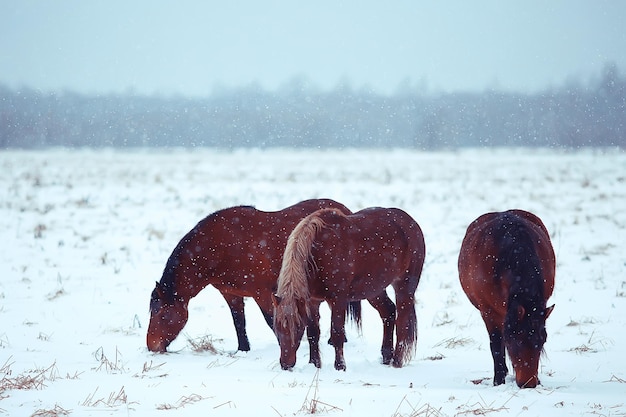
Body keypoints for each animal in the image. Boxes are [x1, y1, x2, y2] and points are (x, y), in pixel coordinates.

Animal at [146, 197, 352, 352]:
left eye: (161, 314)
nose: (152, 346)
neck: (221, 246)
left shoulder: (261, 293)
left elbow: (271, 321)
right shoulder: (230, 293)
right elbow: (239, 322)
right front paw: (243, 349)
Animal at [272, 206, 424, 368]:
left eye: (297, 327)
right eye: (278, 327)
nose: (286, 364)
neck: (318, 251)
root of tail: (411, 222)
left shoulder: (338, 299)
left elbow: (337, 333)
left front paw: (340, 366)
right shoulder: (313, 301)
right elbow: (313, 333)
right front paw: (314, 364)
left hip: (405, 286)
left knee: (403, 323)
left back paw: (397, 361)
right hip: (374, 290)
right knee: (388, 312)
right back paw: (386, 357)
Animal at [456, 210, 552, 388]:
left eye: (543, 340)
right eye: (516, 342)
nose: (529, 384)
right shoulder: (488, 311)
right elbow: (496, 343)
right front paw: (498, 380)